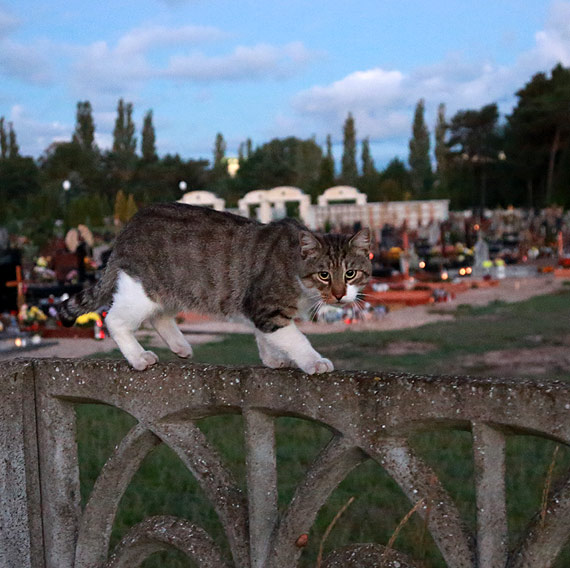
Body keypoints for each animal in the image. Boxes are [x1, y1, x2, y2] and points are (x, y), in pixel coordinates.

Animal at [57, 202, 370, 374]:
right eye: (324, 275)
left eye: (351, 274)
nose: (339, 294)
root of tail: (128, 226)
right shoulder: (265, 307)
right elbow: (296, 339)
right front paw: (313, 362)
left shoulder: (257, 310)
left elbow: (265, 337)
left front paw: (273, 359)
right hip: (142, 290)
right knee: (116, 320)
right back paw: (138, 357)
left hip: (175, 289)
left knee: (160, 316)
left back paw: (180, 345)